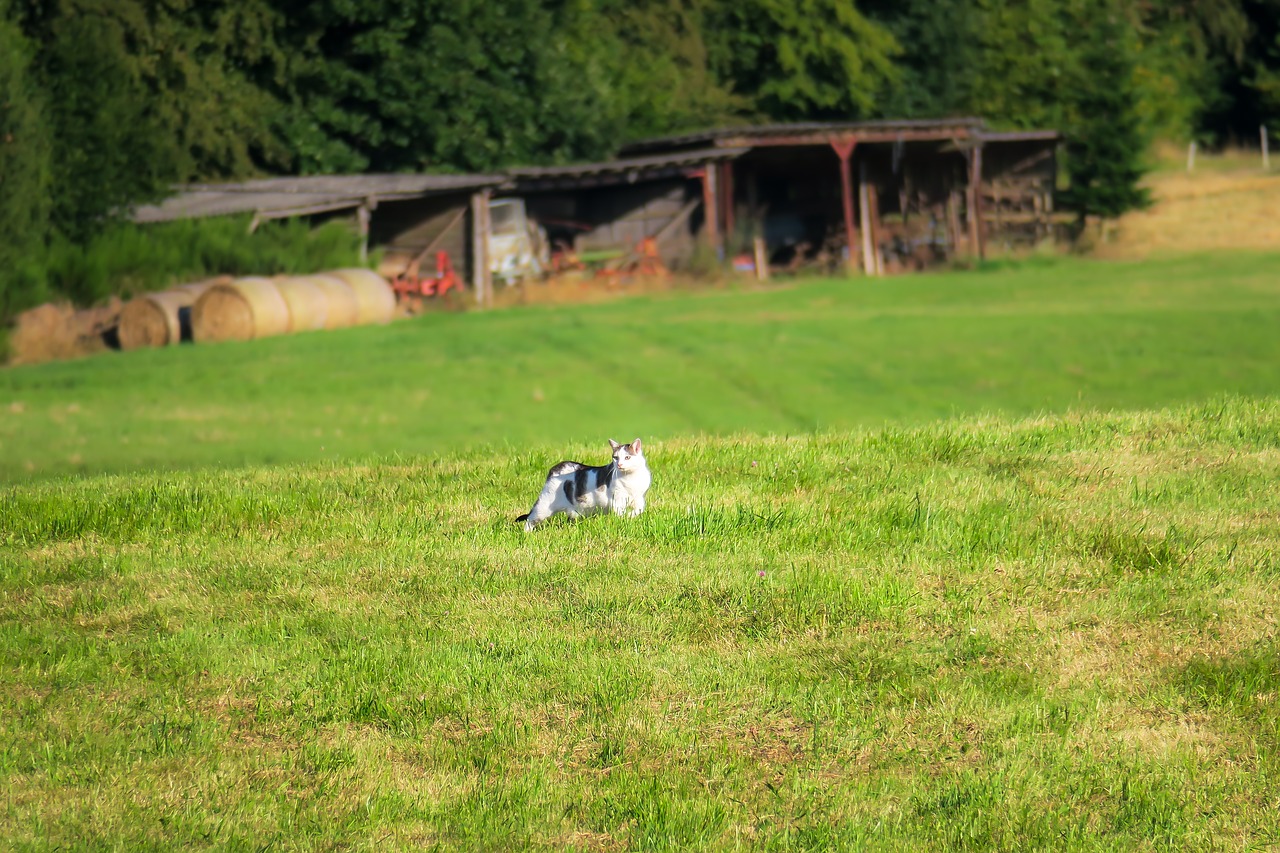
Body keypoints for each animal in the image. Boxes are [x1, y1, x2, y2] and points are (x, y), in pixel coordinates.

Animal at [514, 435, 650, 527]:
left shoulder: (639, 498)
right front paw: (624, 519)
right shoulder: (617, 500)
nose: (619, 464)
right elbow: (620, 513)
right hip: (544, 507)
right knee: (530, 520)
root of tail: (555, 468)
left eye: (627, 457)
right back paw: (526, 534)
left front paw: (630, 516)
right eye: (615, 458)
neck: (631, 478)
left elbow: (639, 510)